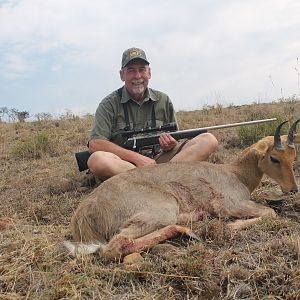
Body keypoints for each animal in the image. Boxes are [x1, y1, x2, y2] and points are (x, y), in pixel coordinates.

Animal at [65, 119, 300, 260]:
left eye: (293, 156)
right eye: (274, 157)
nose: (293, 189)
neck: (236, 173)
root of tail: (83, 212)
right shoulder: (230, 206)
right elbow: (270, 212)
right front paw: (230, 227)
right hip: (163, 210)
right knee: (114, 246)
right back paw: (188, 230)